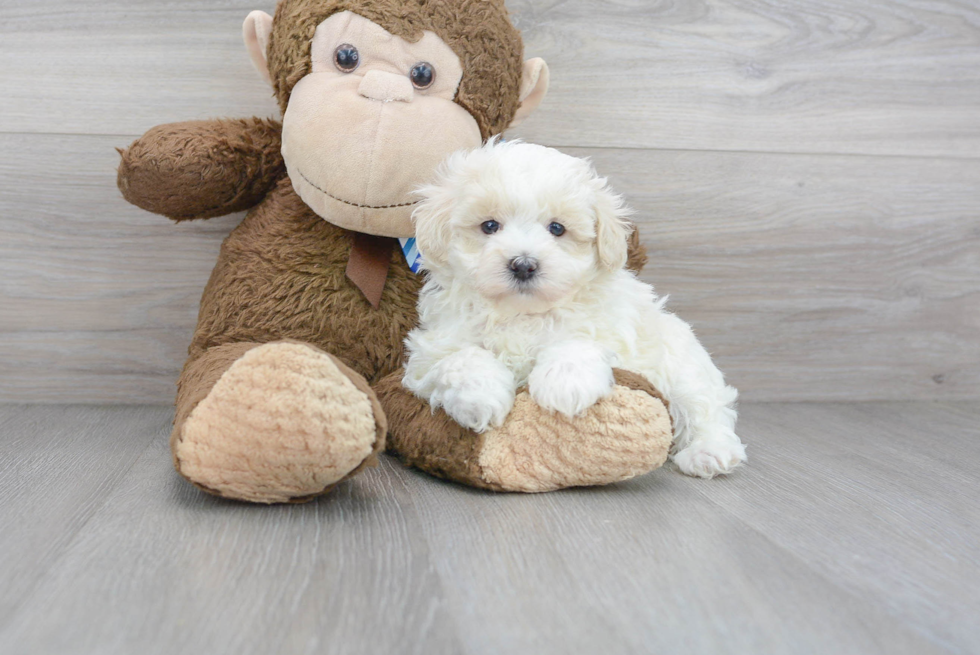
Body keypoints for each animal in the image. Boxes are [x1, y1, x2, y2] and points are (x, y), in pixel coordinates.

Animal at [402, 140, 748, 476]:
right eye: (489, 226)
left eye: (557, 229)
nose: (524, 264)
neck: (522, 313)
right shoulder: (433, 345)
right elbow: (462, 358)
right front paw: (481, 398)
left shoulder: (609, 329)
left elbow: (577, 343)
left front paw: (564, 386)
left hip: (684, 368)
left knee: (706, 410)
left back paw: (708, 453)